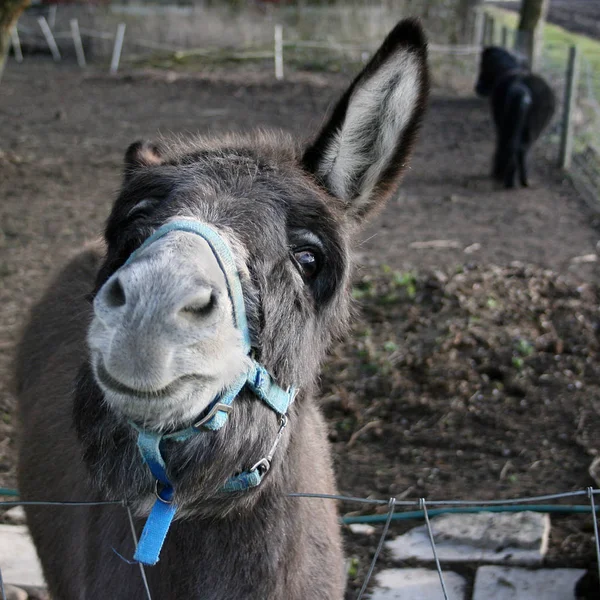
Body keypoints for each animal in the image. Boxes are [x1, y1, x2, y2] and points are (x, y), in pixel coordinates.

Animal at [476, 45, 556, 188]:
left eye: (482, 64)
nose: (478, 87)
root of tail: (522, 87)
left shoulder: (499, 123)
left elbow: (501, 143)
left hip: (508, 124)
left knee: (510, 145)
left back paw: (506, 178)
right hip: (533, 129)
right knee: (522, 148)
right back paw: (524, 181)